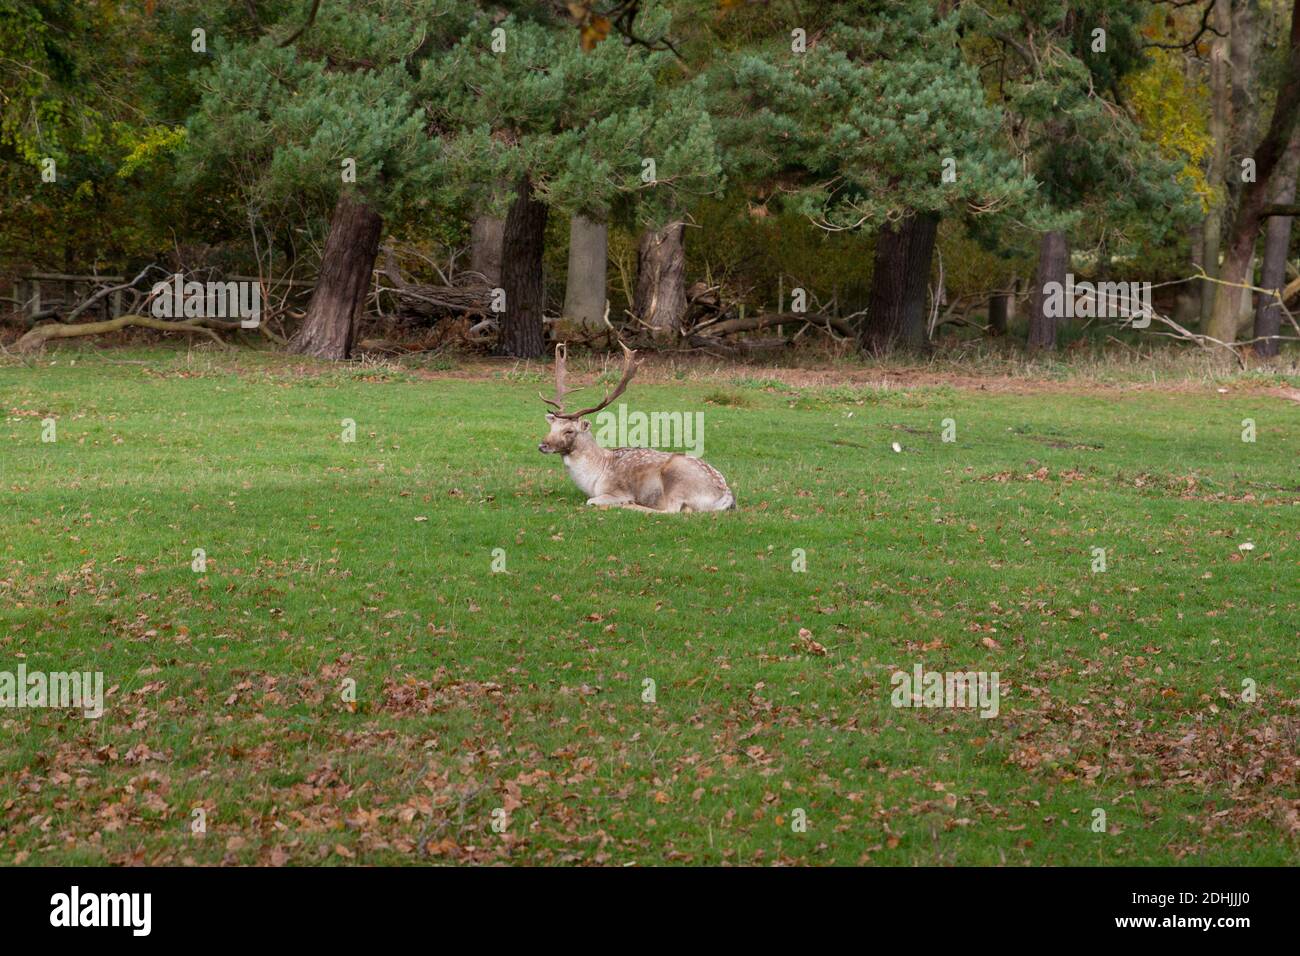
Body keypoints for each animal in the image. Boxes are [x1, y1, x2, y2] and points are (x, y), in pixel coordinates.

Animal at [538, 340, 738, 512]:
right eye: (551, 427)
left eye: (569, 430)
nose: (542, 445)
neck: (594, 478)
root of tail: (727, 496)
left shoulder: (616, 490)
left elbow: (591, 501)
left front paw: (622, 501)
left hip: (678, 477)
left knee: (672, 510)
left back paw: (630, 504)